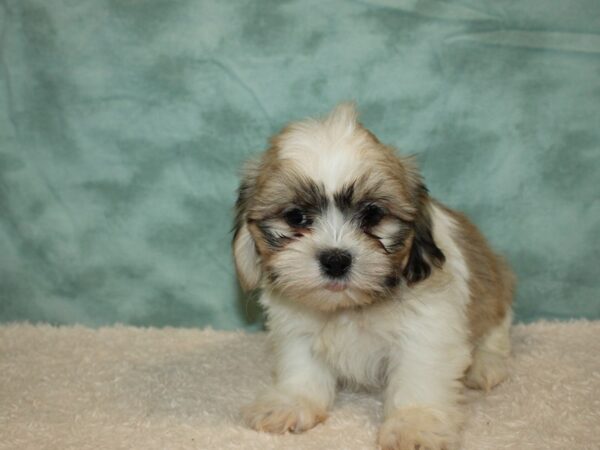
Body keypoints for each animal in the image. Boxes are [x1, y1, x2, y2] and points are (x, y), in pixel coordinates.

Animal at [232, 103, 512, 450]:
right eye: (296, 217)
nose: (335, 260)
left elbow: (419, 376)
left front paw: (414, 423)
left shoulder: (427, 328)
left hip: (495, 287)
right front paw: (292, 403)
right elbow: (301, 365)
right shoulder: (295, 327)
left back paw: (486, 363)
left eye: (372, 214)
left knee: (496, 328)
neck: (350, 307)